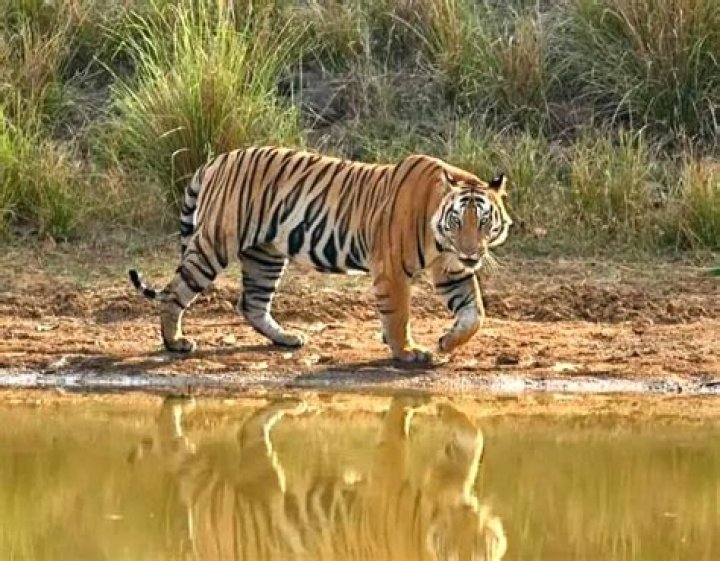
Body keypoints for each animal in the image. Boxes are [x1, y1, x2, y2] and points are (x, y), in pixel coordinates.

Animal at [128, 146, 512, 362]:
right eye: (457, 221)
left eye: (484, 222)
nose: (470, 252)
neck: (442, 241)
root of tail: (216, 161)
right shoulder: (391, 269)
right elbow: (399, 314)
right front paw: (407, 352)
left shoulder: (452, 271)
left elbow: (475, 314)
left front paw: (447, 342)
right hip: (215, 244)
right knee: (174, 292)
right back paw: (175, 342)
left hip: (265, 254)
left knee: (252, 303)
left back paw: (286, 338)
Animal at [128, 395, 508, 561]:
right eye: (454, 552)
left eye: (479, 549)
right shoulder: (388, 481)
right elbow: (395, 433)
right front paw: (427, 403)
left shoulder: (450, 483)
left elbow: (473, 438)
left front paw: (445, 408)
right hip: (250, 489)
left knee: (246, 431)